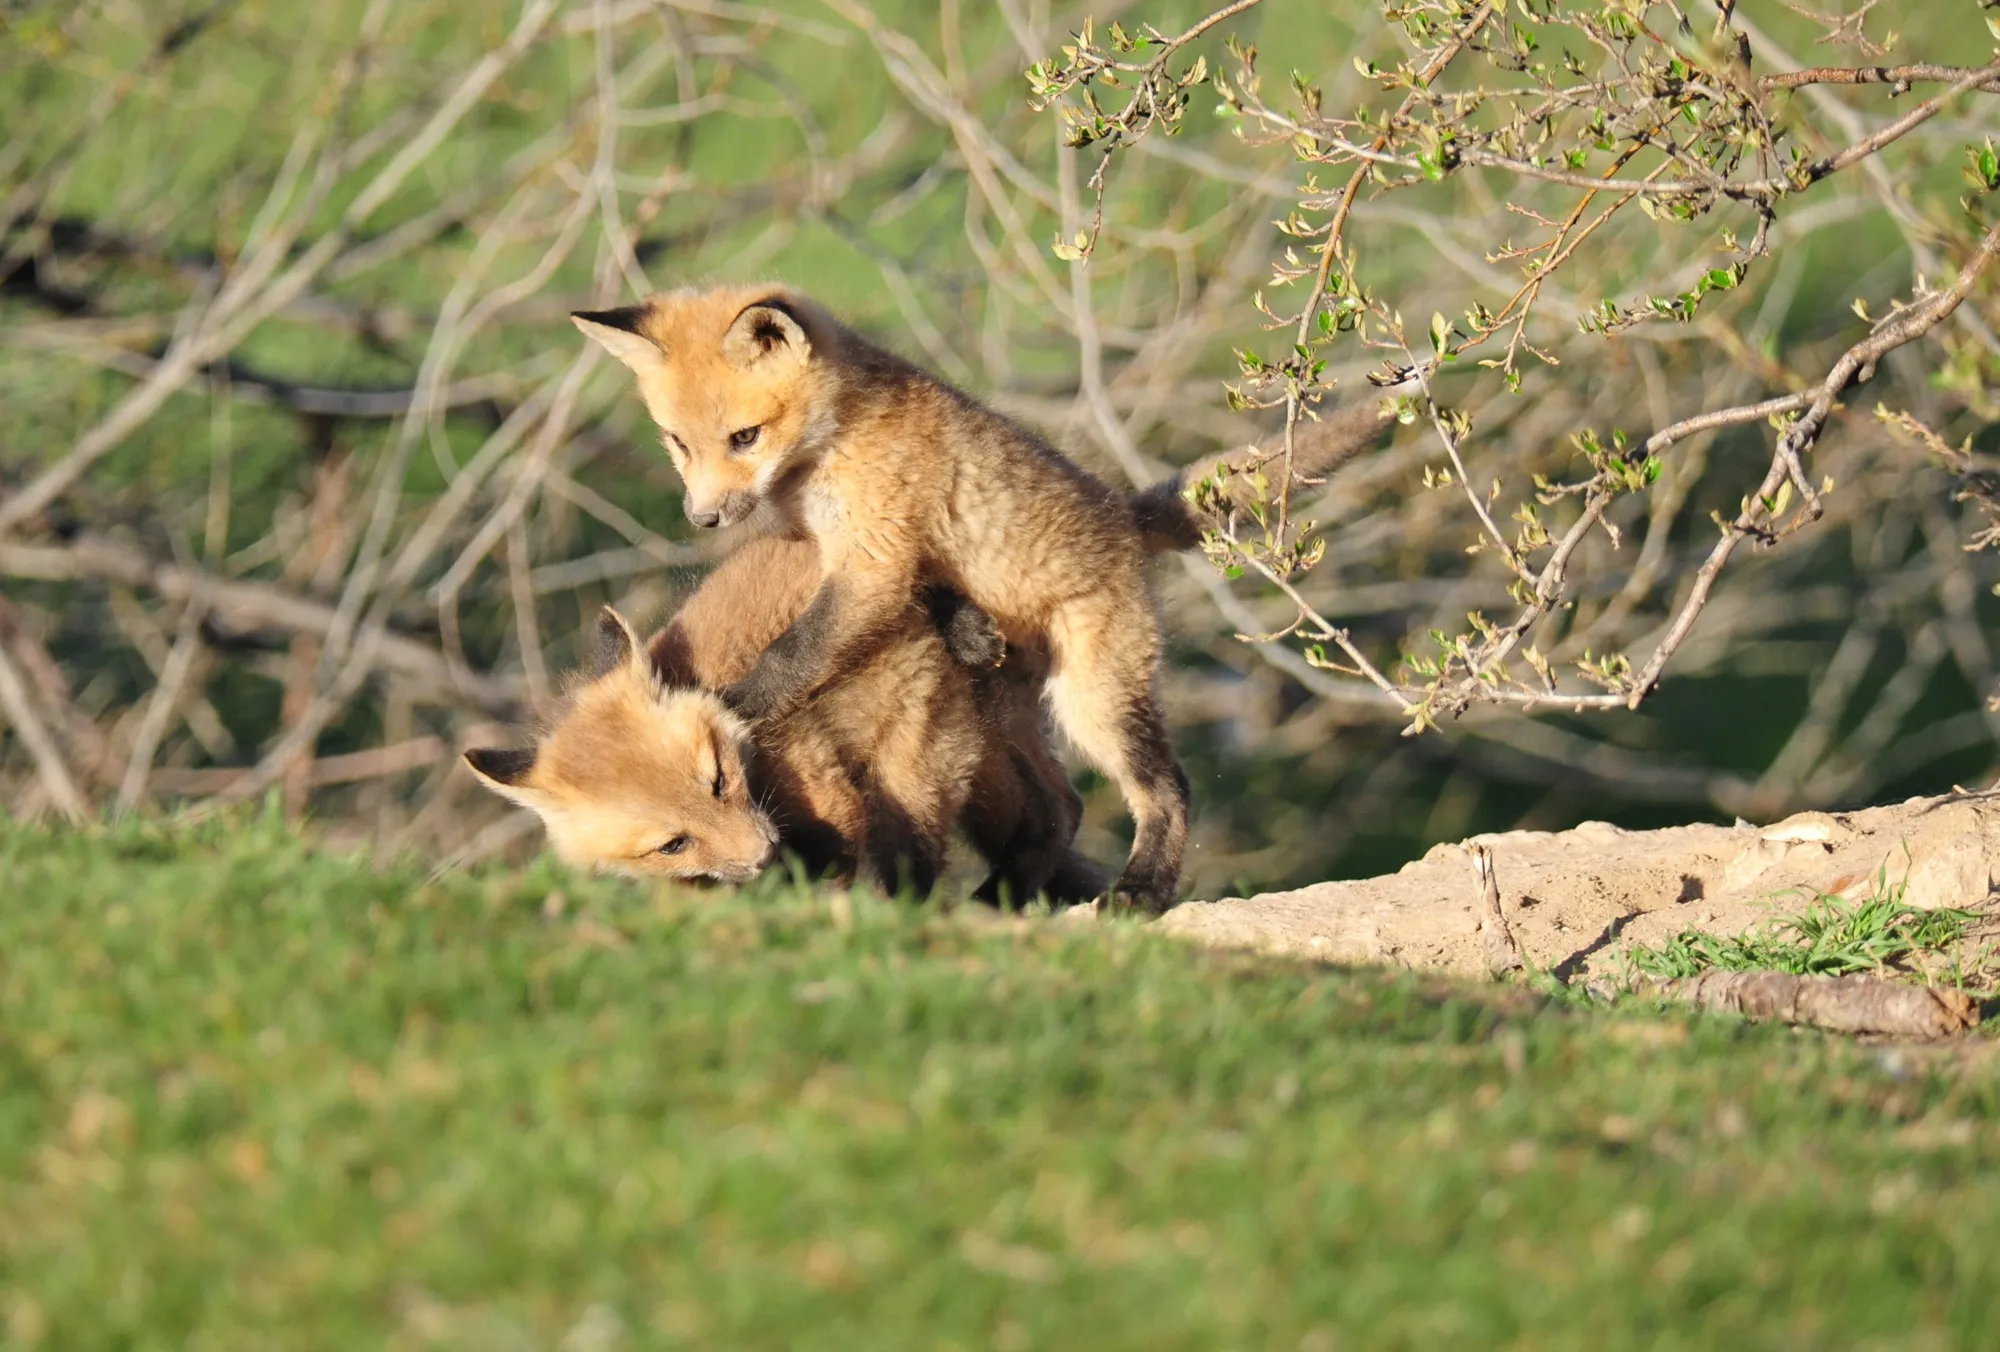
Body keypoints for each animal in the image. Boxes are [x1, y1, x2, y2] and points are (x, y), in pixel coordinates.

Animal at [571, 283, 1411, 912]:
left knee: (1168, 789)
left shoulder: (872, 558)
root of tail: (1121, 511)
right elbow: (924, 598)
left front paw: (729, 707)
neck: (831, 451)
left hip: (1094, 703)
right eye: (678, 443)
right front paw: (967, 627)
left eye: (744, 437)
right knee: (1060, 805)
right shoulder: (851, 557)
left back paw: (1139, 893)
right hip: (1007, 716)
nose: (703, 519)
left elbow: (790, 656)